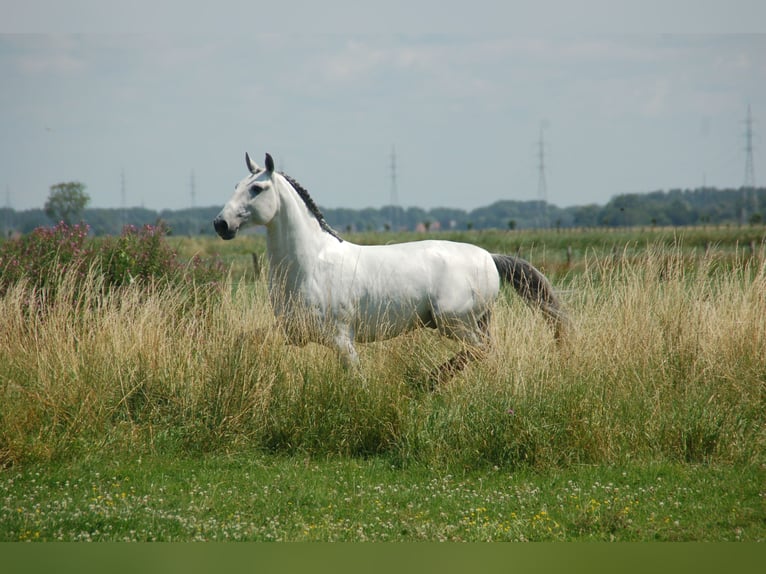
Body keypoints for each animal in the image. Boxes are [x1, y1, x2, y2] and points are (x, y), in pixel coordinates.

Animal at [216, 155, 568, 384]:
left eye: (257, 189)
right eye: (235, 185)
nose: (221, 224)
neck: (310, 265)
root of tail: (490, 257)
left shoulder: (342, 340)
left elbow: (357, 379)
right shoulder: (291, 333)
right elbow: (244, 342)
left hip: (456, 323)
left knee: (478, 352)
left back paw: (425, 384)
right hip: (475, 323)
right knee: (488, 353)